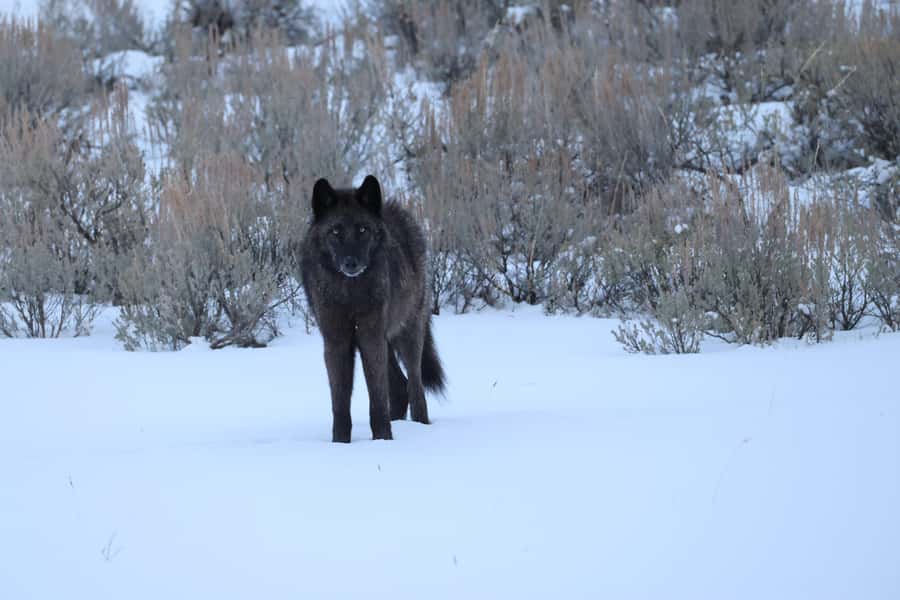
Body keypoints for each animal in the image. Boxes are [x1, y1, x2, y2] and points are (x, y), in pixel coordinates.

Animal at [300, 175, 446, 442]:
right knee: (400, 388)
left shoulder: (370, 337)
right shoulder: (336, 341)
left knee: (415, 386)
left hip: (406, 336)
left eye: (362, 230)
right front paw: (340, 443)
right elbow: (340, 403)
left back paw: (421, 427)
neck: (350, 293)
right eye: (335, 231)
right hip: (385, 341)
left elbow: (377, 398)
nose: (351, 263)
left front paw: (382, 440)